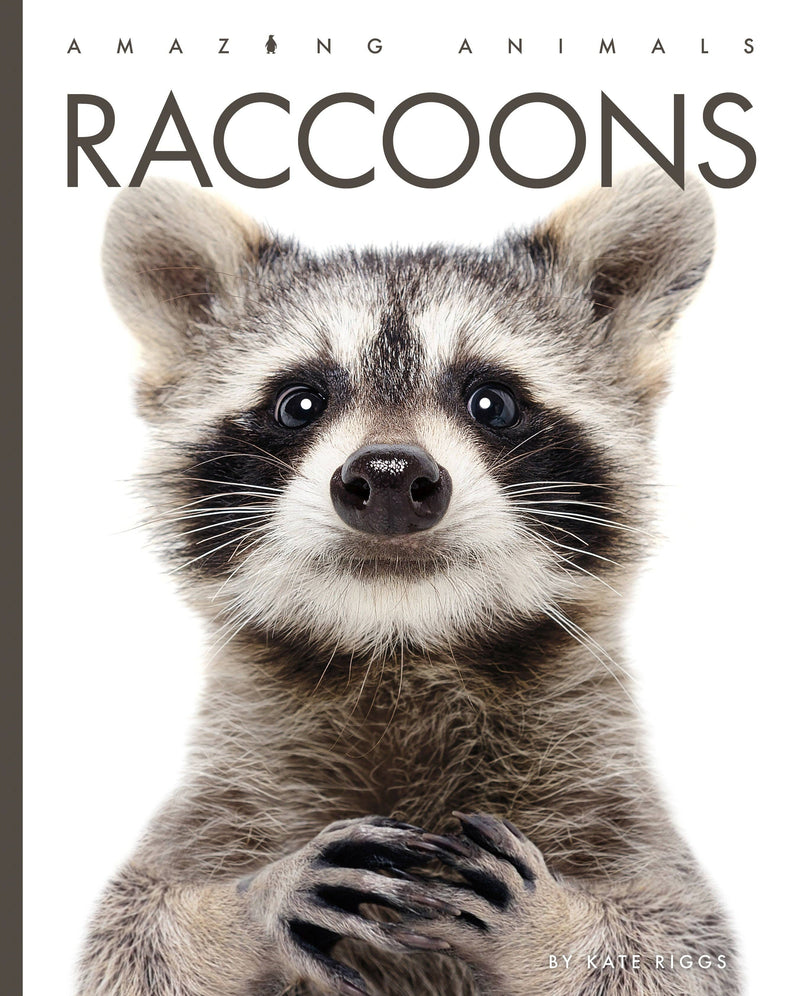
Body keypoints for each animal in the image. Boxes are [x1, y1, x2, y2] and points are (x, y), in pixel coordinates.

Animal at [78, 167, 739, 996]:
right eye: (300, 402)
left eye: (492, 401)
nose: (390, 477)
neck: (399, 649)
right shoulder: (216, 806)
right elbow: (131, 933)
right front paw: (242, 908)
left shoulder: (618, 811)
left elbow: (680, 946)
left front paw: (552, 926)